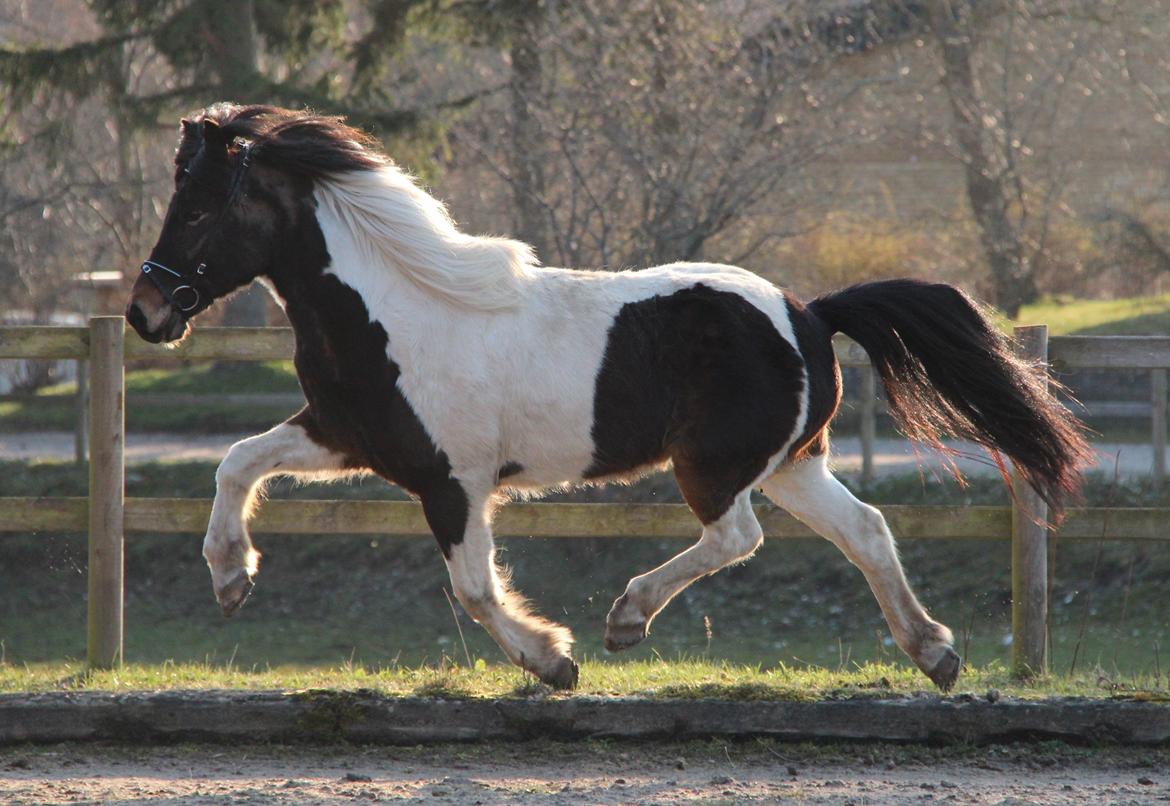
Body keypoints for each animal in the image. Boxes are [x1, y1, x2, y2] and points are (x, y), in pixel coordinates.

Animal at [123, 103, 1090, 687]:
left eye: (197, 208)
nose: (145, 311)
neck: (394, 308)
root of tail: (809, 311)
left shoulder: (452, 481)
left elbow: (474, 587)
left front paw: (554, 660)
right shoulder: (345, 436)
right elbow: (238, 462)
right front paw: (230, 579)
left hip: (718, 466)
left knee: (736, 537)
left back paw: (628, 617)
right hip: (791, 463)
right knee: (867, 529)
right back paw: (936, 653)